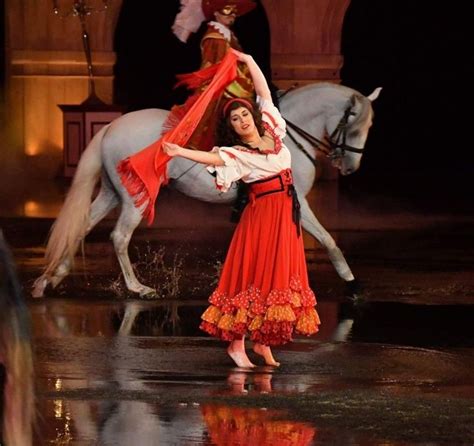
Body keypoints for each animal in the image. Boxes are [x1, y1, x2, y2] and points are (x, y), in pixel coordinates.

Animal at [32, 83, 382, 300]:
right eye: (354, 128)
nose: (350, 167)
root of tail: (110, 127)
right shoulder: (295, 201)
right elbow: (326, 239)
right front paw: (351, 283)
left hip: (111, 193)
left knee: (82, 226)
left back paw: (49, 278)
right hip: (134, 199)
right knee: (119, 236)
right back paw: (138, 288)